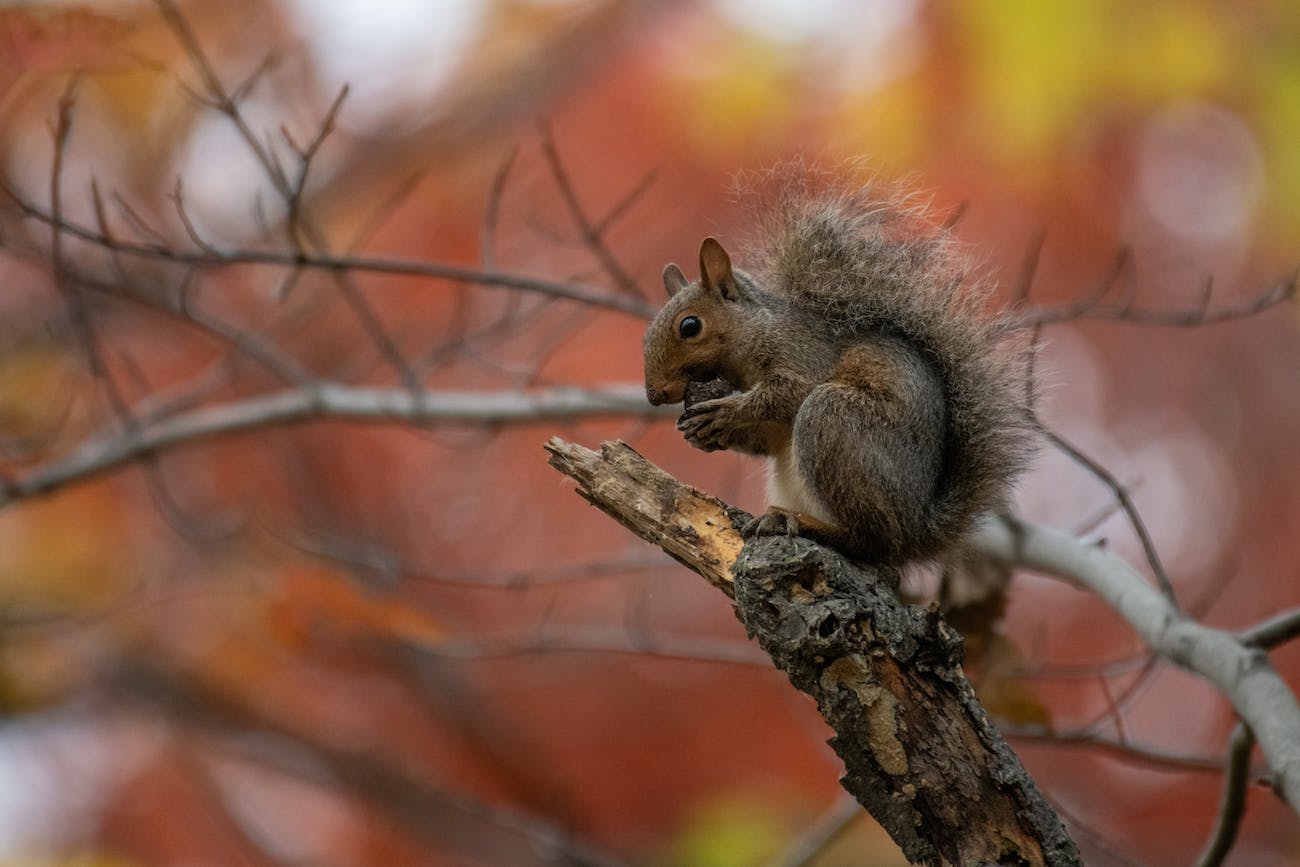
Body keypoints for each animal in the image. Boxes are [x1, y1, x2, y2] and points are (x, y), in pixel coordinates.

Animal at [642, 174, 1034, 569]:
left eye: (690, 326)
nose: (655, 394)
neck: (757, 333)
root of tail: (916, 530)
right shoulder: (772, 426)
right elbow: (765, 438)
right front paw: (704, 434)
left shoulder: (804, 356)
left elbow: (789, 393)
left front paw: (727, 411)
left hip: (833, 420)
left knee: (871, 540)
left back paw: (798, 521)